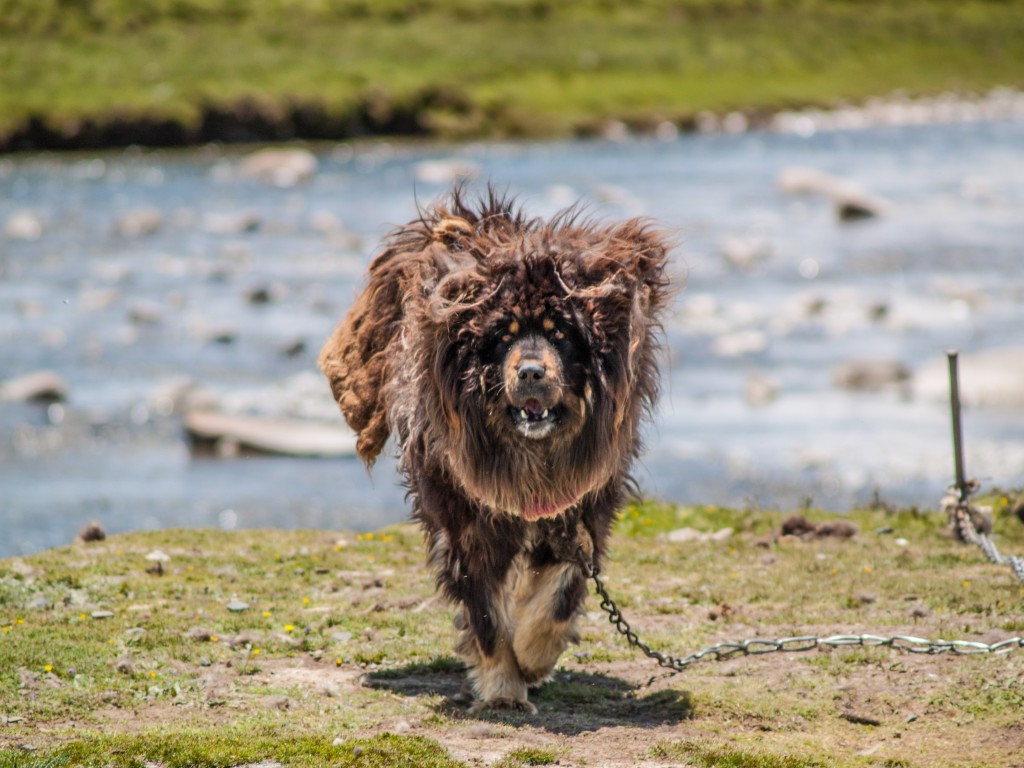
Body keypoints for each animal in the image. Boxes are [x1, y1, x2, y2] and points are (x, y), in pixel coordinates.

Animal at [319, 188, 671, 716]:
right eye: (503, 336)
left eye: (560, 333)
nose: (530, 372)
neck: (533, 454)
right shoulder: (467, 521)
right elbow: (484, 614)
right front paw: (505, 686)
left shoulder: (584, 504)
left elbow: (561, 591)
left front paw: (533, 654)